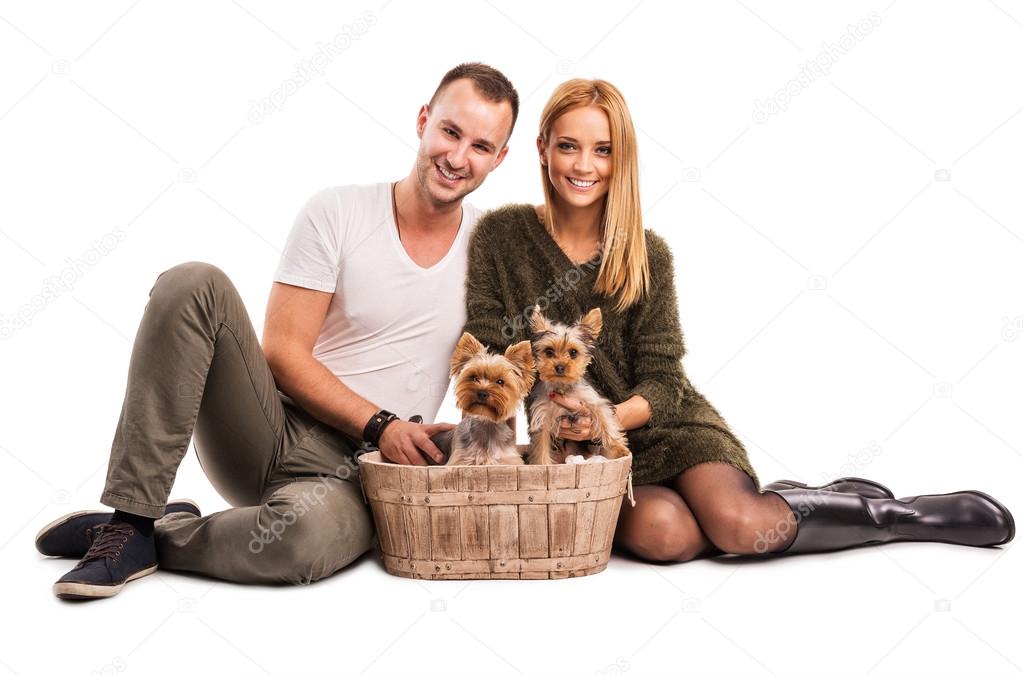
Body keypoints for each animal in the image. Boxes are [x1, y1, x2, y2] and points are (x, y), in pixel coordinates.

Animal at [439, 331, 536, 466]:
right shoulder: (461, 459)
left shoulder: (507, 460)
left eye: (500, 382)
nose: (482, 393)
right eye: (474, 377)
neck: (486, 422)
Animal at [527, 306, 630, 464]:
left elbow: (606, 423)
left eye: (573, 352)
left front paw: (618, 448)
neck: (563, 388)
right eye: (549, 351)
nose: (560, 367)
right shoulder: (542, 420)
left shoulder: (593, 402)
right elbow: (541, 450)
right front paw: (542, 465)